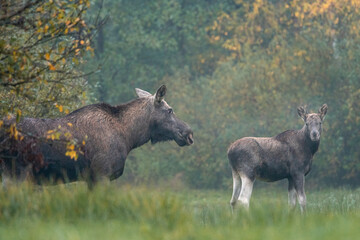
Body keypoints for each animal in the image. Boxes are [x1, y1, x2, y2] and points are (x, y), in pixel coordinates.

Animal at [0, 86, 194, 188]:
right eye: (170, 110)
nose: (189, 133)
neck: (129, 137)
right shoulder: (102, 174)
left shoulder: (91, 178)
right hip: (17, 173)